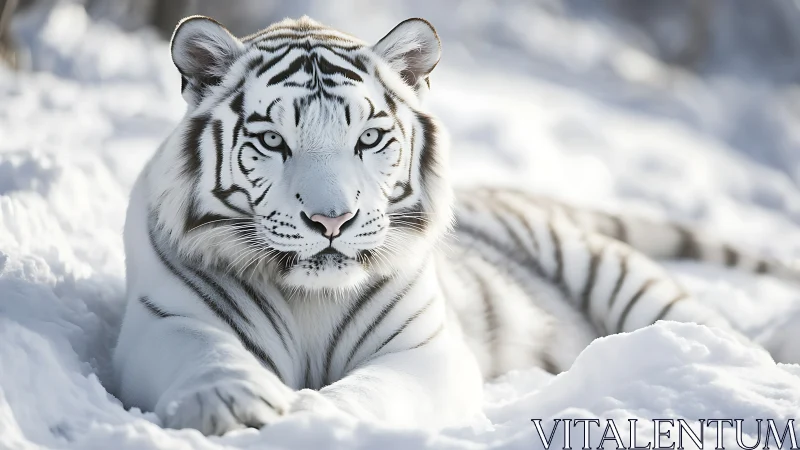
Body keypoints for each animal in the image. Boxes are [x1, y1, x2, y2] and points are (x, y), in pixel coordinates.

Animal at [111, 15, 800, 436]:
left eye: (369, 138)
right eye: (273, 141)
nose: (332, 219)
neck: (310, 297)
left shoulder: (425, 346)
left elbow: (377, 391)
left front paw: (322, 421)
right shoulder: (165, 318)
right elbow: (206, 352)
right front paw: (233, 404)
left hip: (615, 274)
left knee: (718, 331)